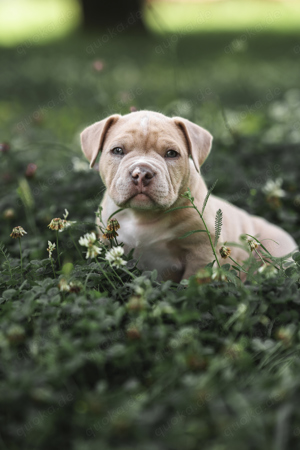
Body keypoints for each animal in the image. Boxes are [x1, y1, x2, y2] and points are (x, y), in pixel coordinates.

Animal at [80, 110, 298, 282]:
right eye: (117, 150)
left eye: (171, 153)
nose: (141, 173)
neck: (143, 216)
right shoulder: (109, 244)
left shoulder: (201, 252)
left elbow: (192, 282)